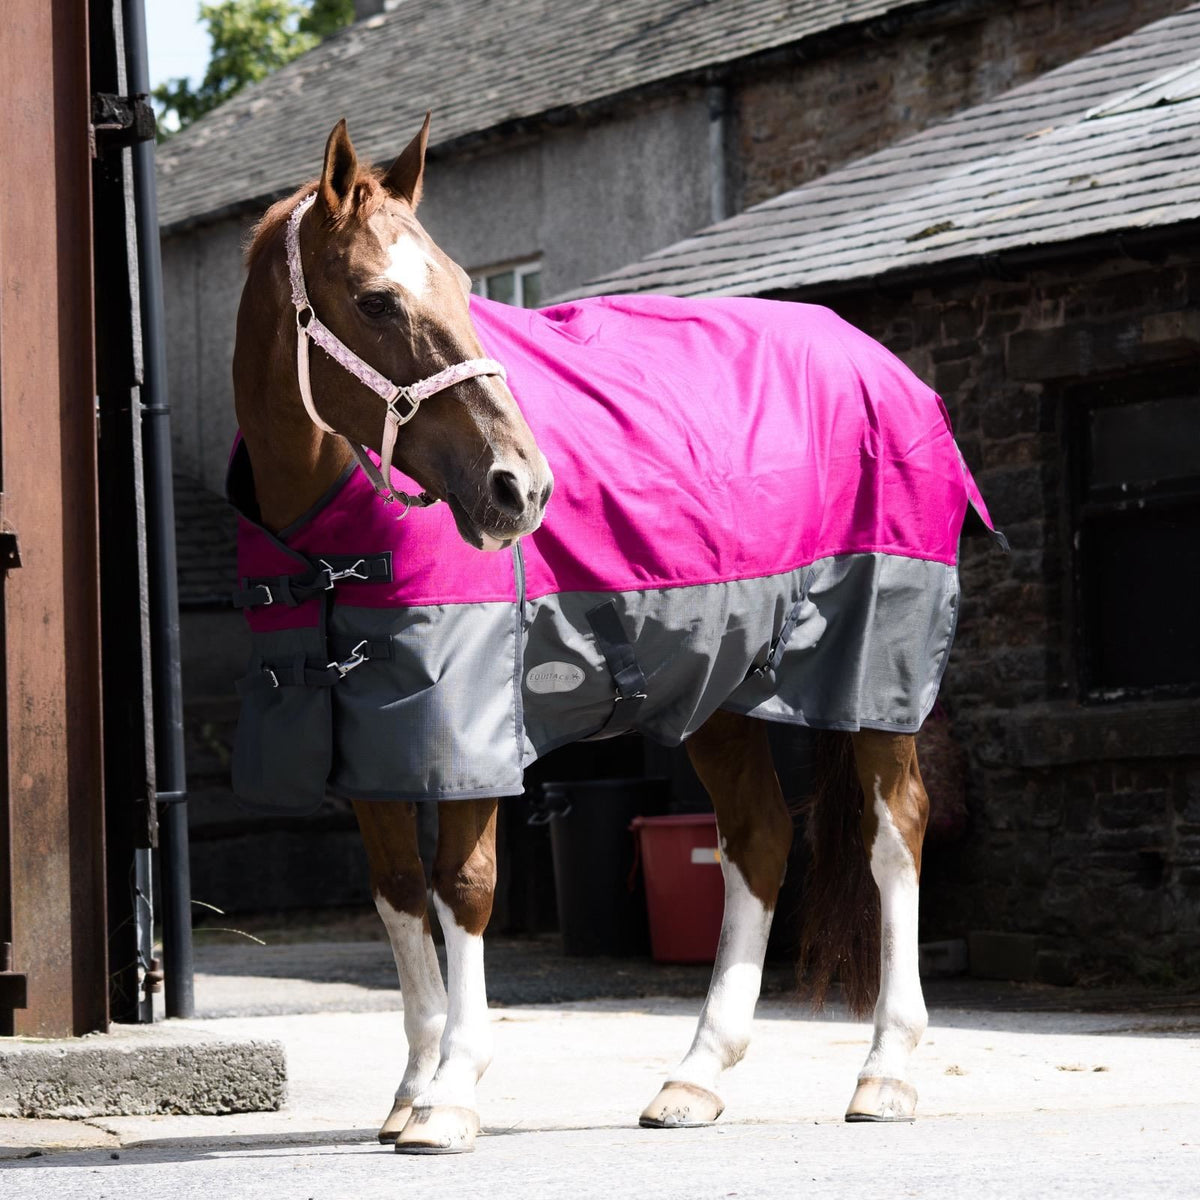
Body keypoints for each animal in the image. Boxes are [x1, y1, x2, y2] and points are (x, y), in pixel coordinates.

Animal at [229, 116, 998, 1154]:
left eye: (465, 286)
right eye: (376, 299)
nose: (520, 488)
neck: (332, 534)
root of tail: (882, 365)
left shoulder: (473, 729)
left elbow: (463, 886)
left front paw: (452, 1093)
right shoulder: (370, 745)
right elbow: (397, 892)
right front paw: (411, 1088)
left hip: (875, 674)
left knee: (895, 836)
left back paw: (885, 1071)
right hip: (721, 692)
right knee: (757, 841)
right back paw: (696, 1077)